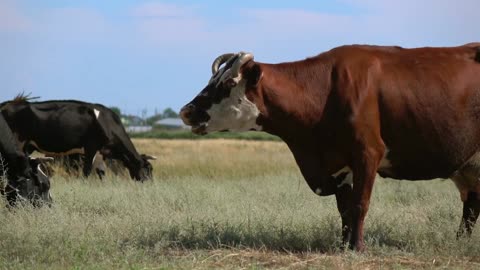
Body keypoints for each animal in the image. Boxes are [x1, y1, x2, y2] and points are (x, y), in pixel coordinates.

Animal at [1, 98, 156, 181]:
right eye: (147, 169)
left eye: (151, 169)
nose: (149, 184)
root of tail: (8, 104)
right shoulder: (91, 147)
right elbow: (87, 171)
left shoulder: (100, 153)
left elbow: (101, 172)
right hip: (17, 141)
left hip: (28, 145)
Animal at [179, 43, 480, 251]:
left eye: (228, 83)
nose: (186, 111)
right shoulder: (339, 165)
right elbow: (344, 210)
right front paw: (343, 246)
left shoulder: (368, 153)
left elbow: (359, 204)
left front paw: (357, 248)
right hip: (467, 167)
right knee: (471, 207)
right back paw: (460, 242)